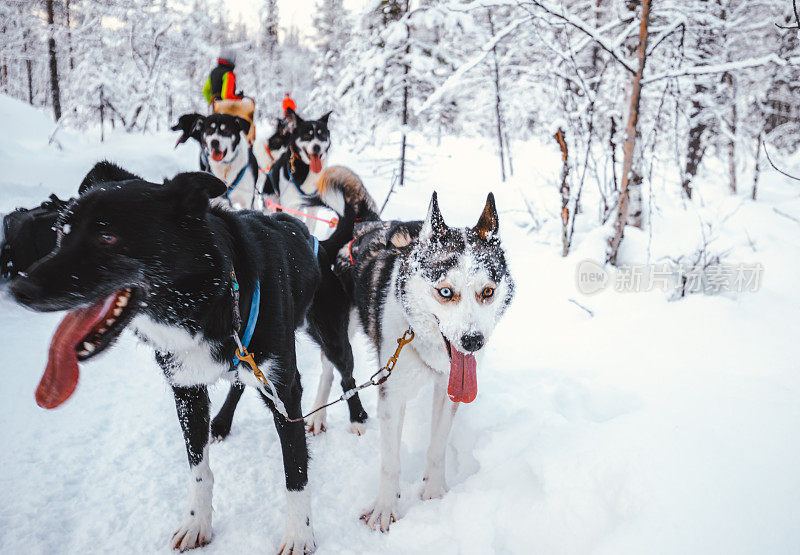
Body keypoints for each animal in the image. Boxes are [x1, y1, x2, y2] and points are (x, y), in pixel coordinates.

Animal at [7, 163, 368, 552]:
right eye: (62, 232)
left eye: (107, 237)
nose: (19, 289)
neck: (217, 297)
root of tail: (322, 244)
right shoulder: (187, 391)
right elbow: (199, 470)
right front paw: (197, 522)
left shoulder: (283, 389)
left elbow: (295, 470)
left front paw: (300, 534)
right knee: (239, 382)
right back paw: (221, 422)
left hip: (330, 337)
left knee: (346, 372)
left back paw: (357, 416)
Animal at [332, 193, 520, 532]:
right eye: (445, 291)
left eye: (487, 291)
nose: (473, 341)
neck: (422, 341)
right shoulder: (392, 393)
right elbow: (390, 461)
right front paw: (384, 508)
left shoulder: (449, 391)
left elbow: (437, 445)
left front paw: (434, 493)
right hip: (340, 335)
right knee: (329, 371)